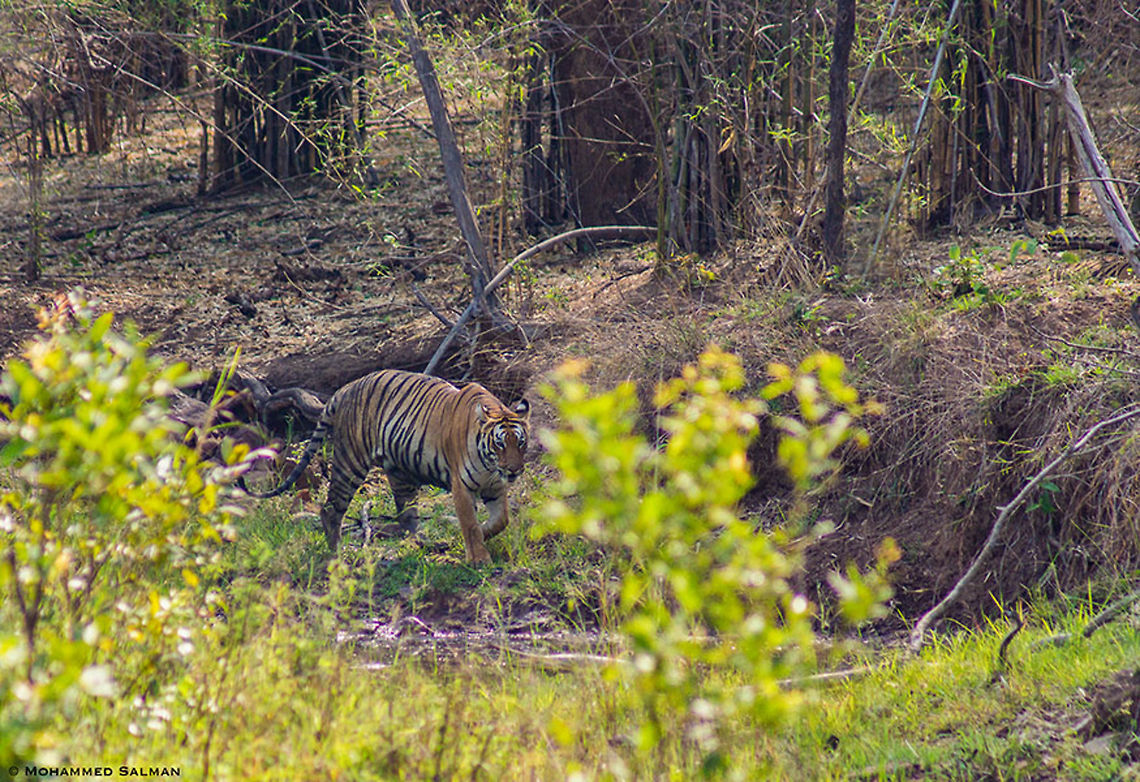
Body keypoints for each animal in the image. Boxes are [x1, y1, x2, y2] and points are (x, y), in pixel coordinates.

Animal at [251, 369, 530, 563]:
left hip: (400, 473)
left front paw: (485, 533)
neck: (491, 467)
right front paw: (479, 558)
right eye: (500, 444)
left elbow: (501, 520)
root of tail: (347, 387)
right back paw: (336, 552)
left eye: (521, 443)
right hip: (351, 463)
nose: (514, 470)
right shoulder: (461, 486)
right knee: (331, 508)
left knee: (407, 518)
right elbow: (470, 524)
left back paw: (424, 543)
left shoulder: (495, 487)